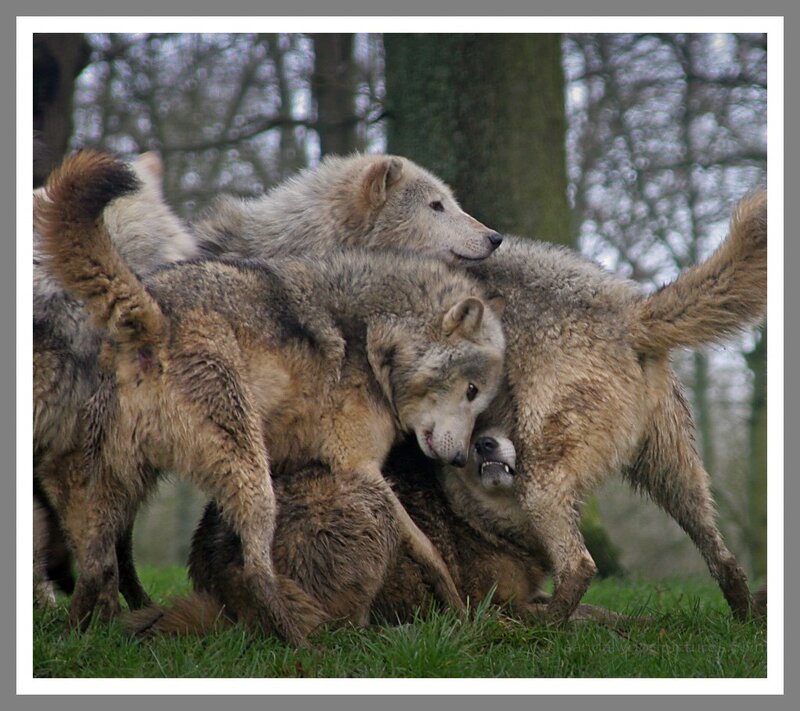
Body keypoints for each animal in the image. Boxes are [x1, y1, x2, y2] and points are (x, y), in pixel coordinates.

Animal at [34, 150, 506, 645]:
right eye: (437, 205)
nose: (496, 237)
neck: (375, 340)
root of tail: (150, 315)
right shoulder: (360, 469)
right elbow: (426, 547)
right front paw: (460, 610)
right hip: (246, 476)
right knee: (255, 567)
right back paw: (302, 647)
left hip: (119, 481)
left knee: (97, 564)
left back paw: (89, 634)